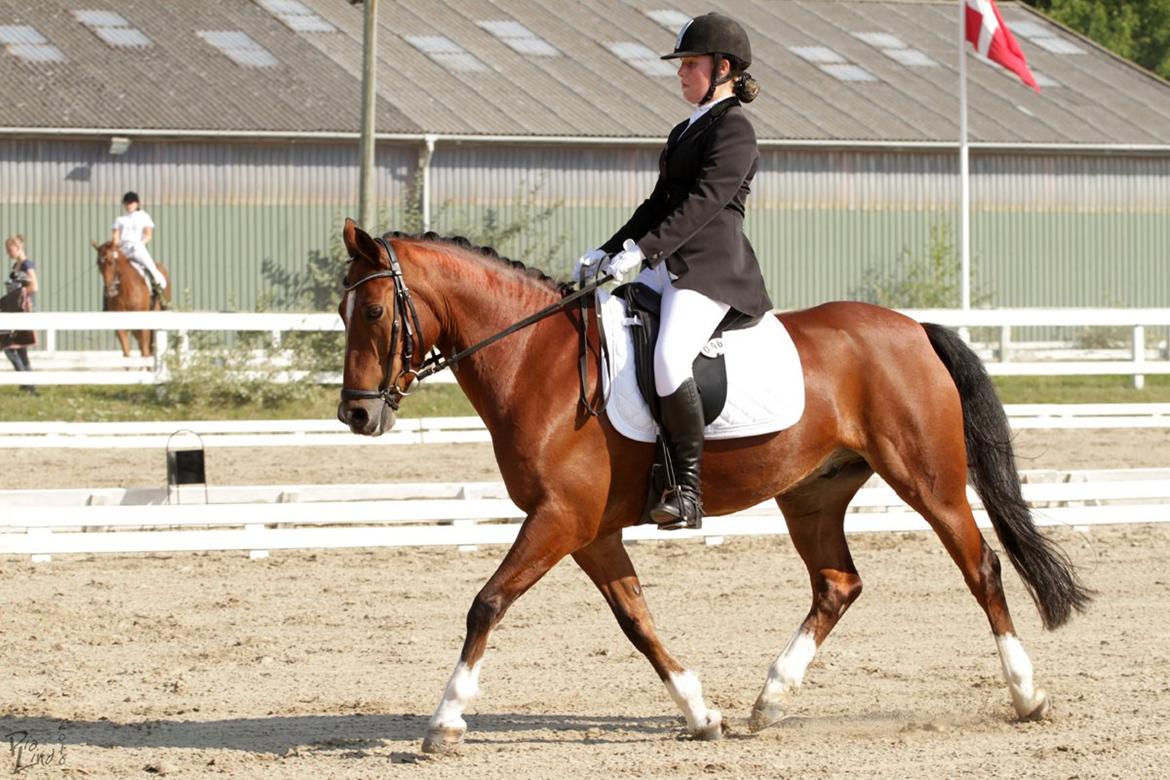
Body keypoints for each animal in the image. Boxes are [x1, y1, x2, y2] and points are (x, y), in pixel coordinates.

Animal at [332, 216, 1085, 753]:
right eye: (342, 314)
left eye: (372, 312)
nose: (357, 415)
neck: (534, 359)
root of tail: (914, 329)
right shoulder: (589, 530)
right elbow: (637, 621)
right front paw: (701, 714)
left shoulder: (560, 518)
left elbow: (486, 604)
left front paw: (444, 722)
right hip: (811, 494)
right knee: (837, 584)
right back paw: (770, 699)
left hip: (928, 480)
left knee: (981, 567)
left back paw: (1027, 696)